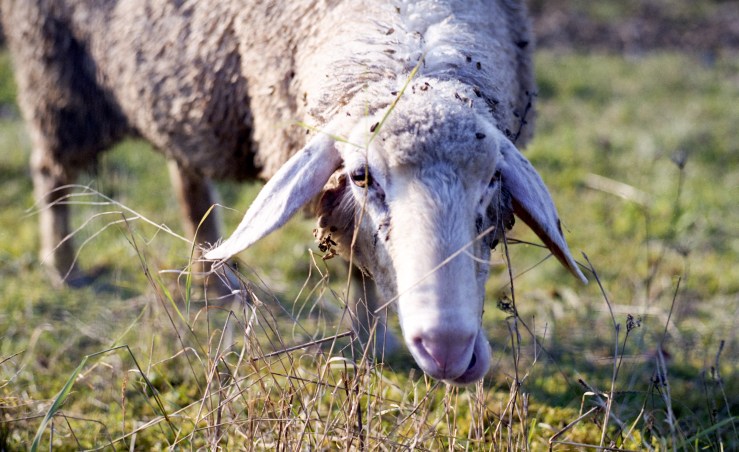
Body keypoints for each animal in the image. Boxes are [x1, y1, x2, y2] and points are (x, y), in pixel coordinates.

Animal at [3, 0, 587, 385]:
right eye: (361, 176)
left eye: (492, 179)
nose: (447, 347)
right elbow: (357, 270)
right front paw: (368, 347)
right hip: (57, 81)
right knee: (50, 172)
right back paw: (64, 267)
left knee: (187, 174)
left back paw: (215, 278)